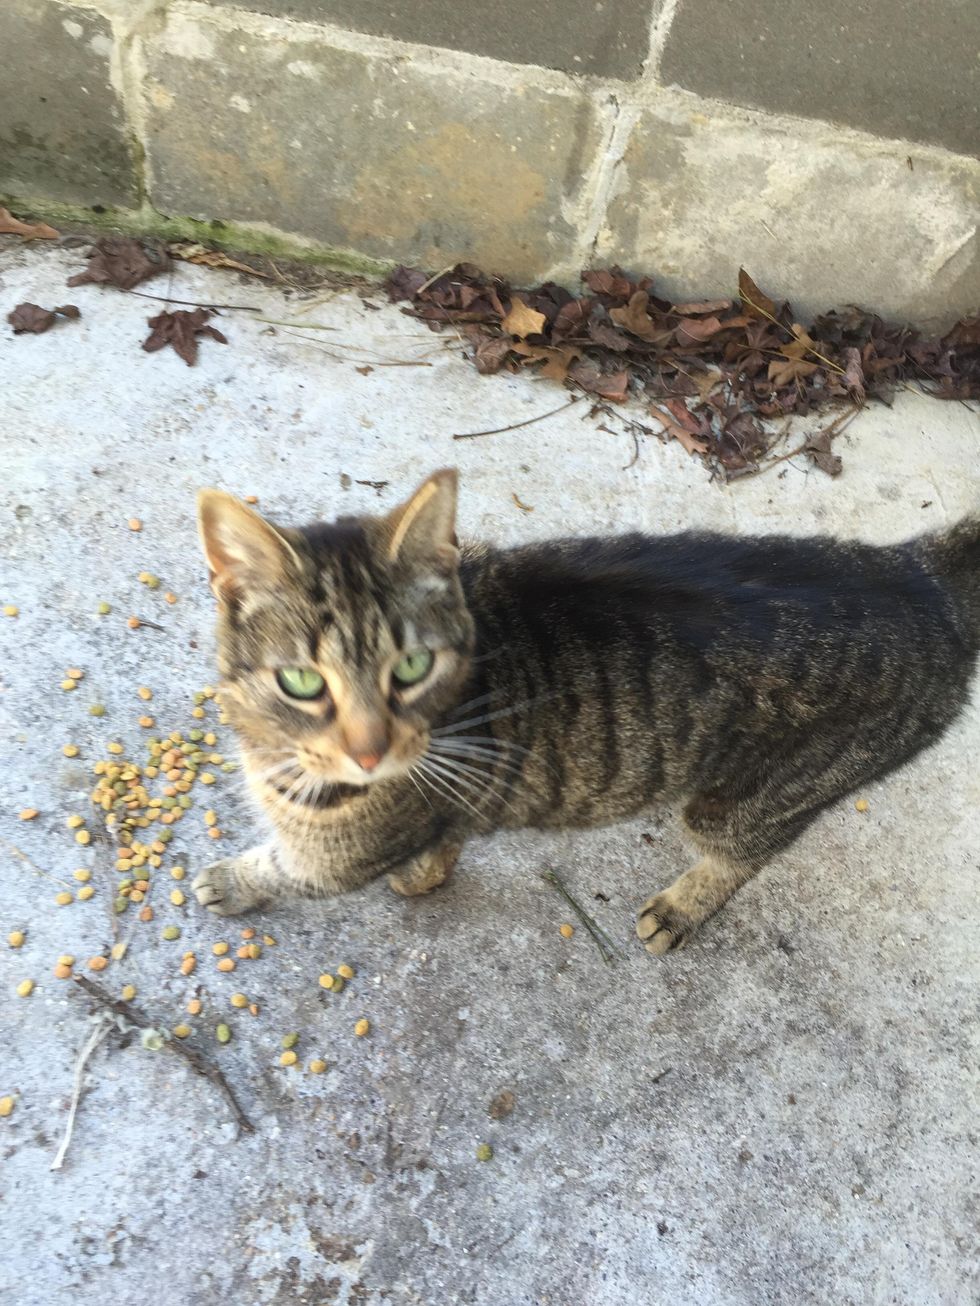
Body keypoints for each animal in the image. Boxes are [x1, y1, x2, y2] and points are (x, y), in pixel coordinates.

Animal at [193, 475, 980, 955]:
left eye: (410, 668)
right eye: (302, 680)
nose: (369, 751)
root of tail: (924, 579)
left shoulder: (333, 859)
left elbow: (277, 870)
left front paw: (227, 880)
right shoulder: (453, 810)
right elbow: (443, 845)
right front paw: (425, 874)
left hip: (748, 801)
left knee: (748, 854)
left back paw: (683, 905)